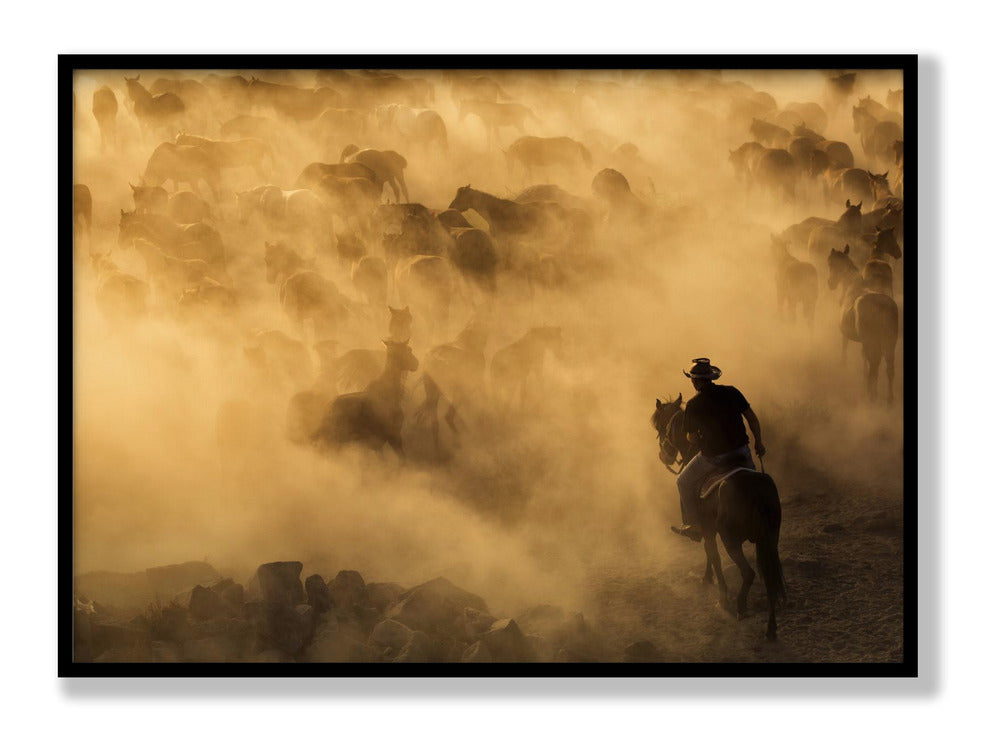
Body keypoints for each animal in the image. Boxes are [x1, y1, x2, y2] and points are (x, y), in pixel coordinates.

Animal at [648, 394, 788, 640]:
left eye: (660, 427)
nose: (663, 455)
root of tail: (756, 490)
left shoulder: (708, 530)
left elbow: (713, 556)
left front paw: (721, 596)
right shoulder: (709, 530)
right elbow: (709, 553)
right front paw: (707, 578)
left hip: (731, 540)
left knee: (749, 573)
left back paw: (740, 605)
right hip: (769, 541)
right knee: (768, 576)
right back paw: (771, 629)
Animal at [828, 244, 900, 402]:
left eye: (830, 263)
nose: (830, 284)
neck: (850, 283)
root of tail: (882, 306)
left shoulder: (851, 337)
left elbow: (846, 349)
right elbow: (864, 359)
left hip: (872, 341)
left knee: (875, 366)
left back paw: (871, 395)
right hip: (889, 342)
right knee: (889, 368)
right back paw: (889, 399)